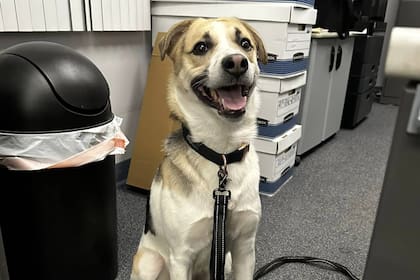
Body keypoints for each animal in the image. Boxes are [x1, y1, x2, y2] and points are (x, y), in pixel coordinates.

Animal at [131, 17, 268, 280]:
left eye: (245, 44)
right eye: (201, 47)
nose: (237, 62)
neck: (221, 153)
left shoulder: (244, 248)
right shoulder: (181, 257)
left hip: (226, 262)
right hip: (149, 262)